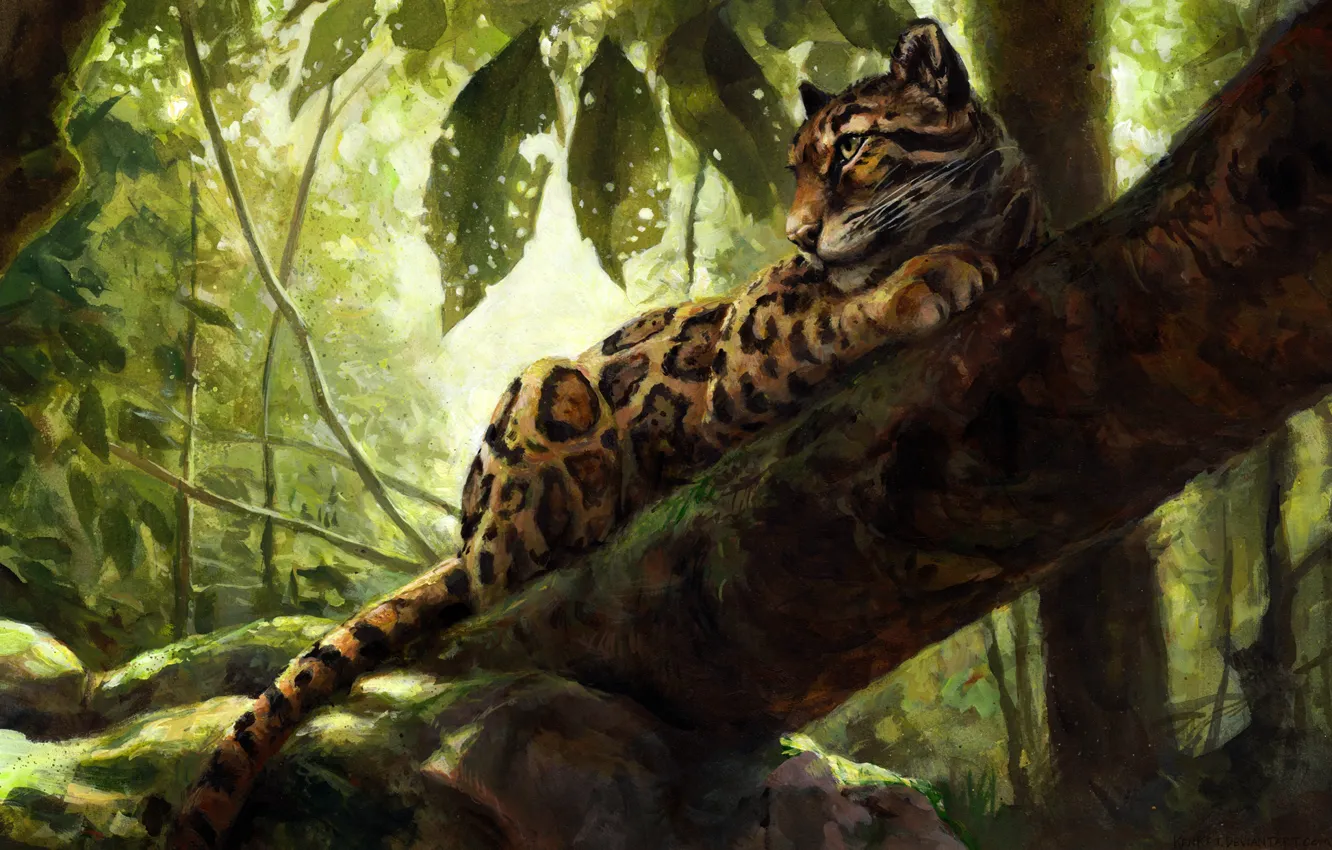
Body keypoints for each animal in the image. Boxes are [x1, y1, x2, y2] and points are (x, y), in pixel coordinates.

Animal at [169, 19, 1045, 848]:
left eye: (854, 149)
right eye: (797, 165)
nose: (797, 234)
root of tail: (463, 533)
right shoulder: (749, 347)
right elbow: (839, 314)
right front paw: (927, 278)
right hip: (547, 387)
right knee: (506, 566)